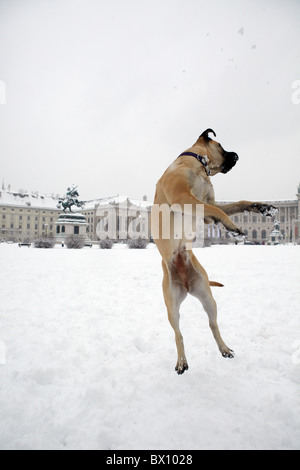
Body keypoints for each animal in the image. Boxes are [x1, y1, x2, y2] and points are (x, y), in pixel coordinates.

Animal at [152, 129, 276, 374]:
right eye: (222, 146)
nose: (237, 154)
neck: (199, 165)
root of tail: (186, 283)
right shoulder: (184, 198)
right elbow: (218, 210)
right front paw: (233, 228)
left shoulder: (207, 206)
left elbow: (234, 205)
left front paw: (261, 207)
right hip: (172, 306)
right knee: (178, 334)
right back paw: (181, 360)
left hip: (207, 297)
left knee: (213, 324)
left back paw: (224, 348)